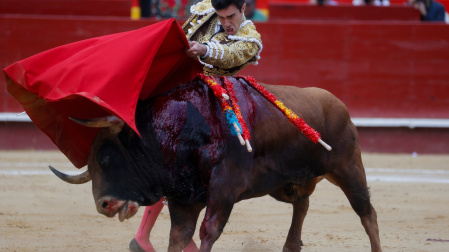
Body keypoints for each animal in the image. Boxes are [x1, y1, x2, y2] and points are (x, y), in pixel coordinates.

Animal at [50, 77, 380, 252]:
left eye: (107, 158)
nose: (103, 204)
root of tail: (337, 103)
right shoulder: (183, 198)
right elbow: (178, 237)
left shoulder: (224, 188)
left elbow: (208, 230)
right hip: (287, 184)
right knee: (302, 205)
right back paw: (290, 245)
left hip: (348, 168)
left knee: (367, 213)